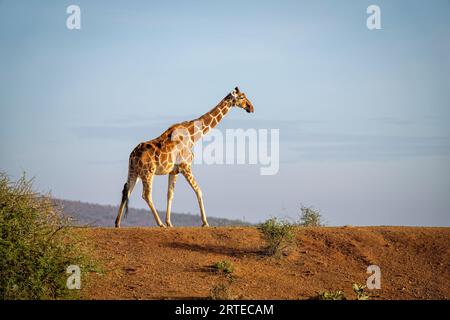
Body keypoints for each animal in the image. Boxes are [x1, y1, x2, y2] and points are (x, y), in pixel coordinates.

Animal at [114, 87, 255, 228]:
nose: (251, 108)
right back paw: (160, 224)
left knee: (126, 190)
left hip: (135, 172)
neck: (193, 135)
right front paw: (205, 223)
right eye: (242, 97)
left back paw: (117, 223)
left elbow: (170, 194)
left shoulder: (174, 171)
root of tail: (132, 156)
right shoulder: (185, 166)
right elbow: (198, 190)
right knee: (146, 195)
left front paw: (170, 223)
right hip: (148, 172)